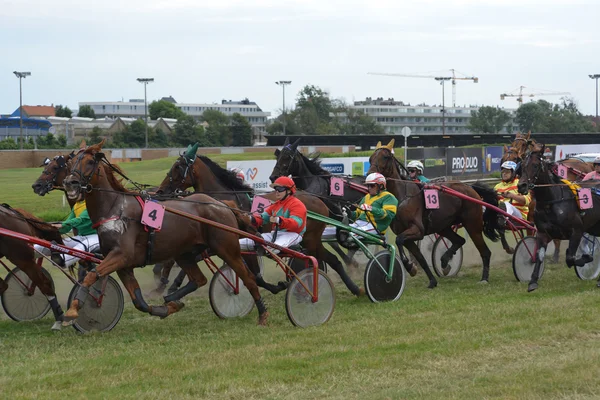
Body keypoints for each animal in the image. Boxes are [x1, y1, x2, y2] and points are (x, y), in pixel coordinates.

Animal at [60, 140, 268, 324]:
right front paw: (166, 308)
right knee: (199, 279)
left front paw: (73, 309)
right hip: (184, 253)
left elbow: (92, 275)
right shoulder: (123, 265)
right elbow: (138, 301)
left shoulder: (121, 256)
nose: (70, 182)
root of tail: (223, 204)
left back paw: (262, 313)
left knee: (249, 278)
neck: (115, 209)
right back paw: (172, 297)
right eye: (71, 162)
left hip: (227, 248)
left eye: (90, 162)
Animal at [156, 144, 366, 296]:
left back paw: (354, 285)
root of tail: (317, 199)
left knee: (333, 258)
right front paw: (170, 283)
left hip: (311, 239)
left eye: (177, 167)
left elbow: (255, 275)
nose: (160, 190)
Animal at [368, 139, 504, 286]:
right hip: (443, 227)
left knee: (485, 252)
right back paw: (445, 261)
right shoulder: (407, 235)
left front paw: (410, 267)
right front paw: (431, 280)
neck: (403, 197)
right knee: (460, 240)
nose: (370, 175)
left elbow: (399, 240)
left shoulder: (417, 230)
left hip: (472, 225)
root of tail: (471, 187)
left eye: (385, 157)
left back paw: (484, 278)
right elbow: (419, 257)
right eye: (370, 158)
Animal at [516, 142, 600, 292]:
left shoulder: (577, 230)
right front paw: (533, 281)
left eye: (535, 165)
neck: (551, 202)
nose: (522, 186)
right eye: (522, 166)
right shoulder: (543, 233)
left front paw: (587, 258)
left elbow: (570, 258)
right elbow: (539, 255)